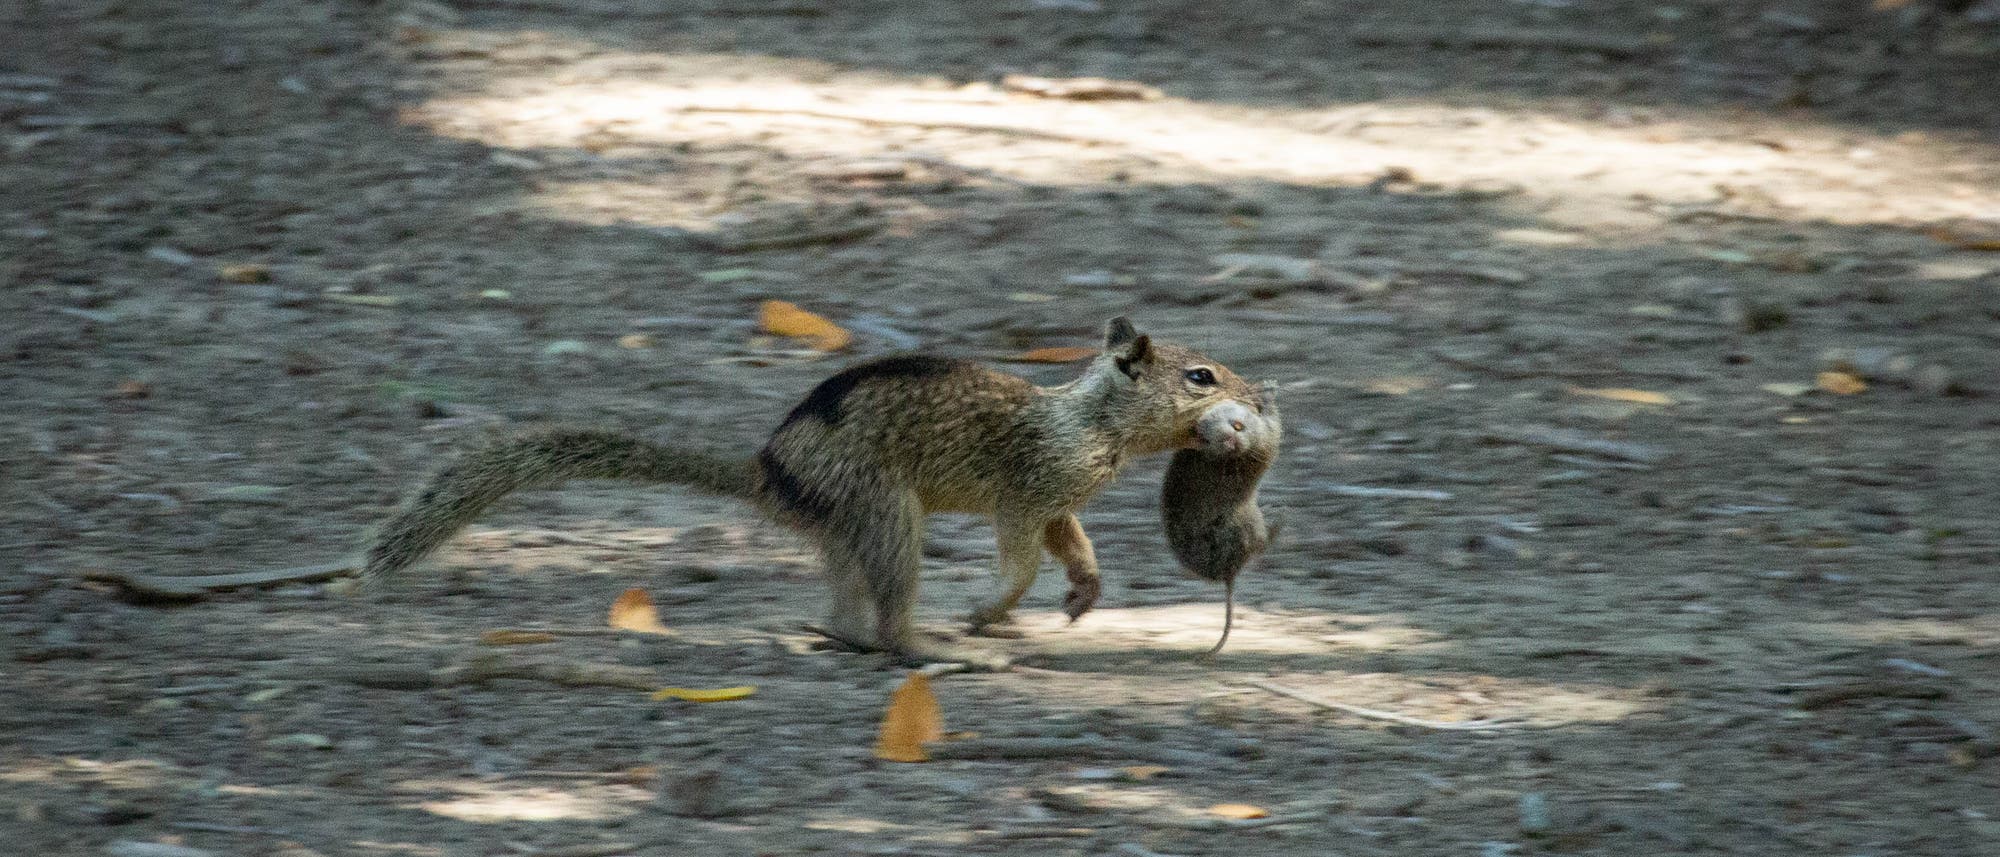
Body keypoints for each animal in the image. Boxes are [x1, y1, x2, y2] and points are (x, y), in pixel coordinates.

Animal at [364, 318, 1248, 664]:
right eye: (1200, 376)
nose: (1256, 395)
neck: (1091, 418)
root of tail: (766, 470)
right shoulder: (1028, 490)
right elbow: (1024, 555)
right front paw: (989, 607)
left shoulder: (1060, 498)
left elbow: (1075, 543)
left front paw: (1084, 593)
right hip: (887, 512)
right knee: (889, 613)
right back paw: (928, 646)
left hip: (851, 527)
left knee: (845, 604)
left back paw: (841, 634)